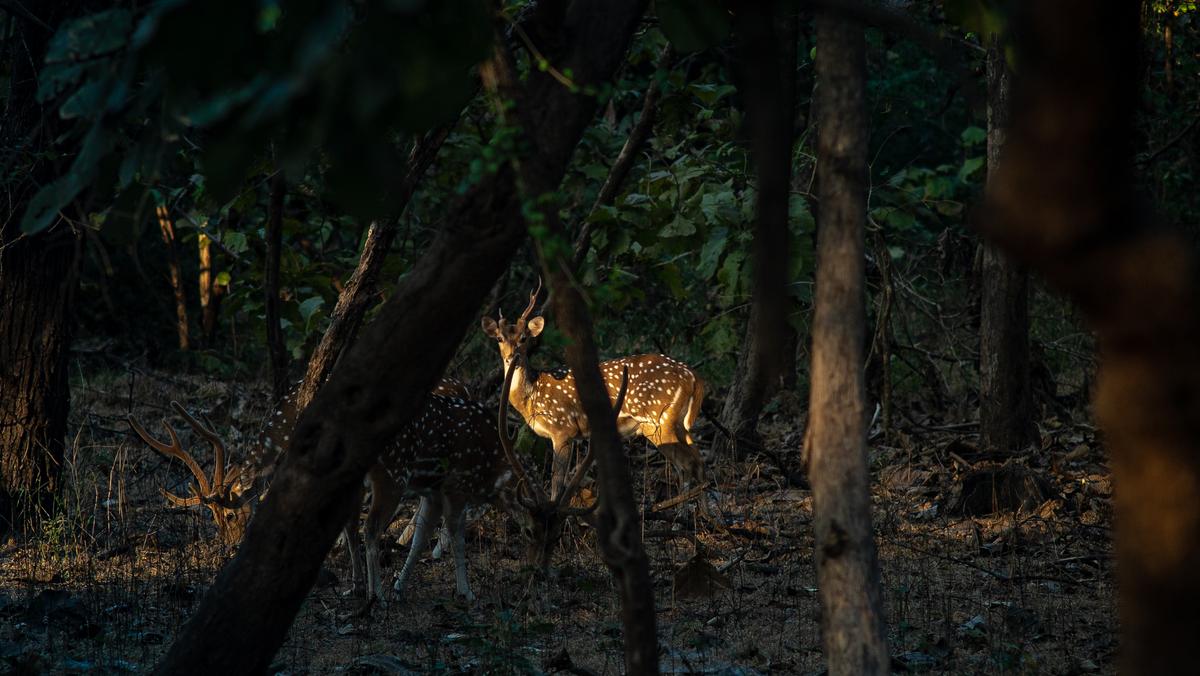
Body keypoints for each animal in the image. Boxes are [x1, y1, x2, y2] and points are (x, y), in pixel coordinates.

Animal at [126, 378, 511, 606]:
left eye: (232, 515)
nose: (231, 547)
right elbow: (350, 525)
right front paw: (355, 583)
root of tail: (465, 389)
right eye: (215, 522)